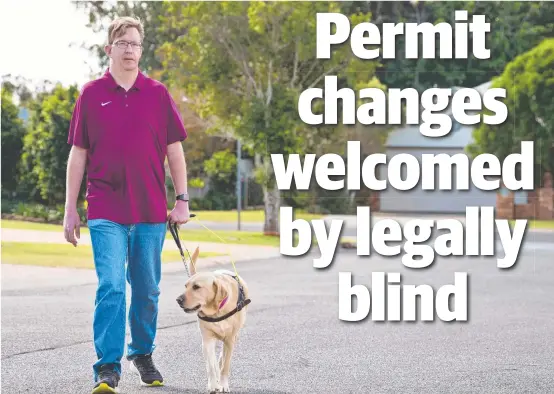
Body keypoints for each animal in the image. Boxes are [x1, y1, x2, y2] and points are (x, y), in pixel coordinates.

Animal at [176, 248, 249, 392]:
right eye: (186, 286)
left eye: (196, 287)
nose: (178, 300)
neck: (217, 311)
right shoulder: (207, 339)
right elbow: (210, 366)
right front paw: (214, 385)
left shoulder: (230, 340)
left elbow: (225, 366)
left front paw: (224, 384)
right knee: (213, 361)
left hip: (235, 335)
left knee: (222, 357)